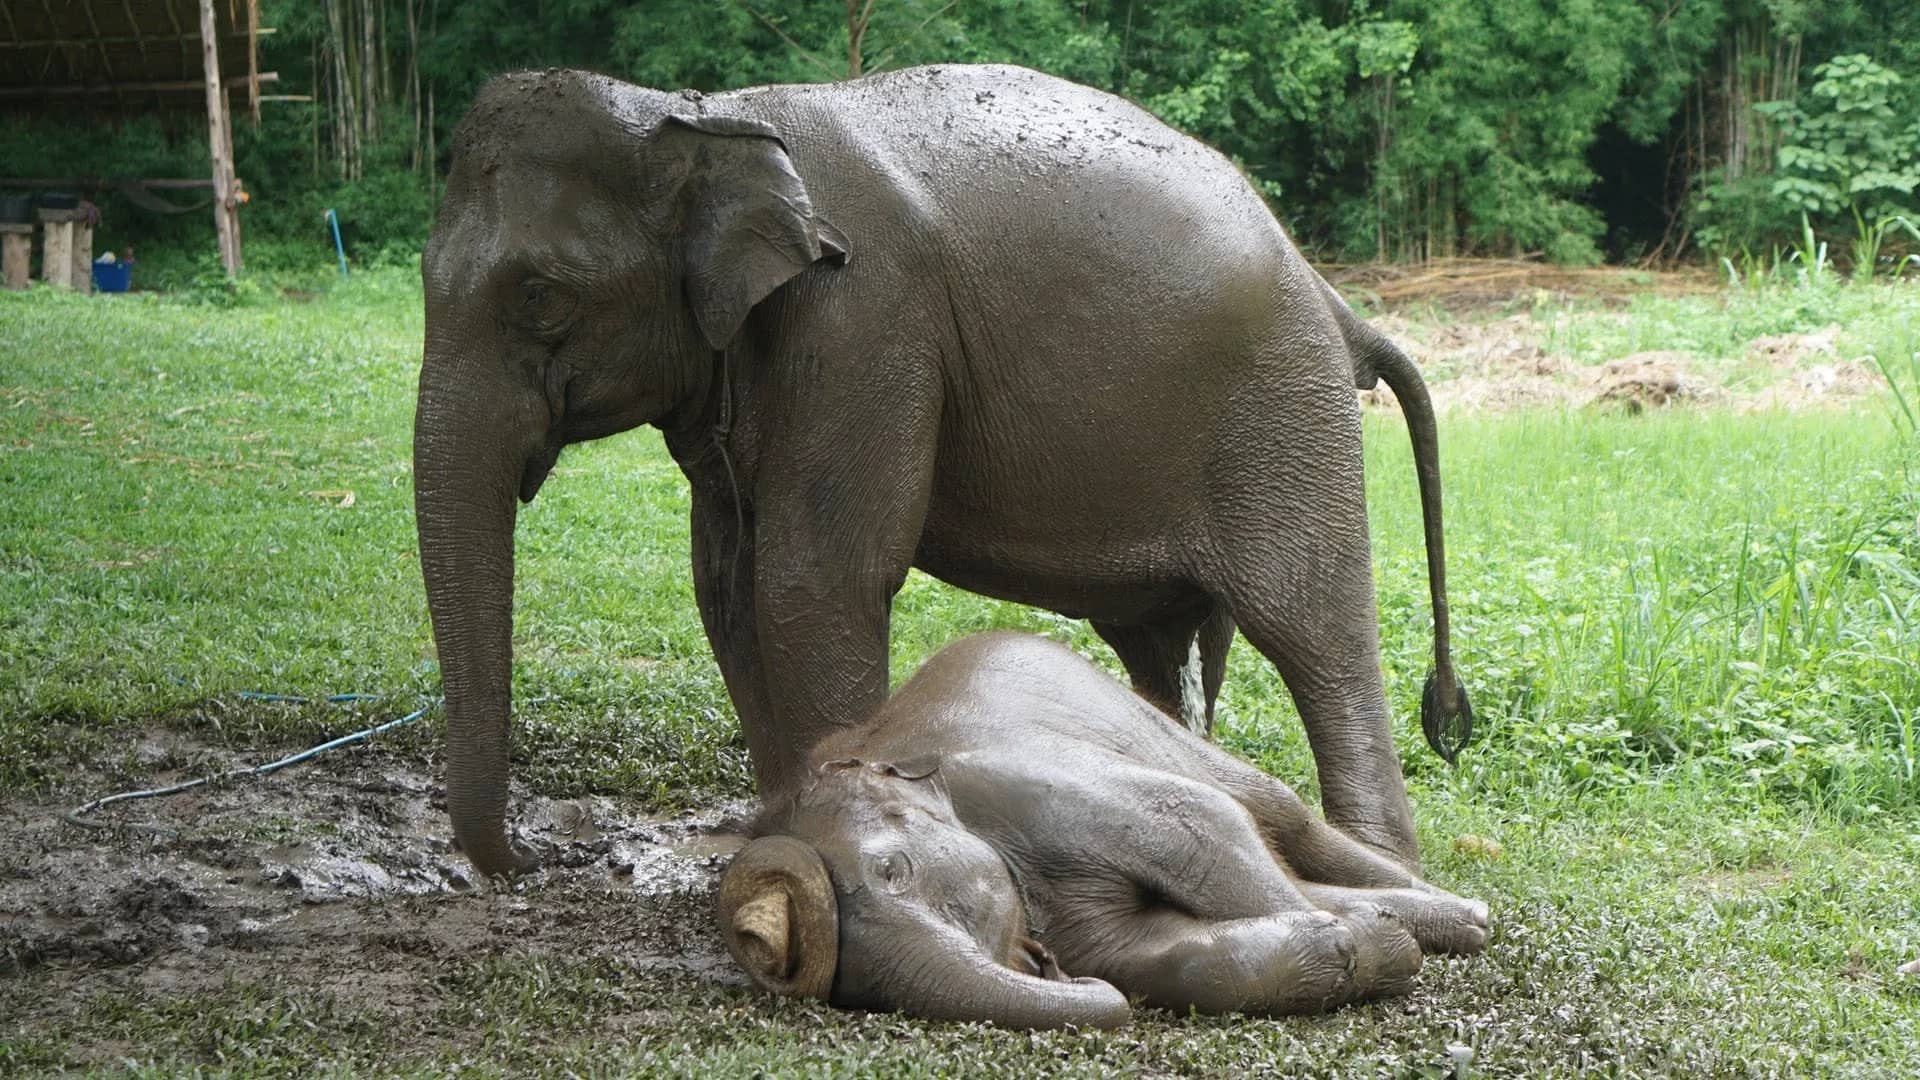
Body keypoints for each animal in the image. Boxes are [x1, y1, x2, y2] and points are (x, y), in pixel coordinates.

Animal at [416, 63, 1472, 880]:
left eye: (541, 298)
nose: (542, 856)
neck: (699, 111)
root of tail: (1337, 303)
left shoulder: (863, 319)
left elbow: (812, 582)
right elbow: (727, 589)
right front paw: (774, 842)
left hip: (1283, 414)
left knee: (1312, 629)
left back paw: (1384, 869)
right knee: (1163, 643)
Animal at [718, 631, 1489, 1027]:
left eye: (893, 870)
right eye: (858, 987)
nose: (1053, 968)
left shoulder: (1034, 782)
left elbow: (1201, 828)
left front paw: (1390, 946)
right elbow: (1168, 956)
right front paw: (1368, 940)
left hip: (1146, 717)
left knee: (1270, 811)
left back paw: (1463, 913)